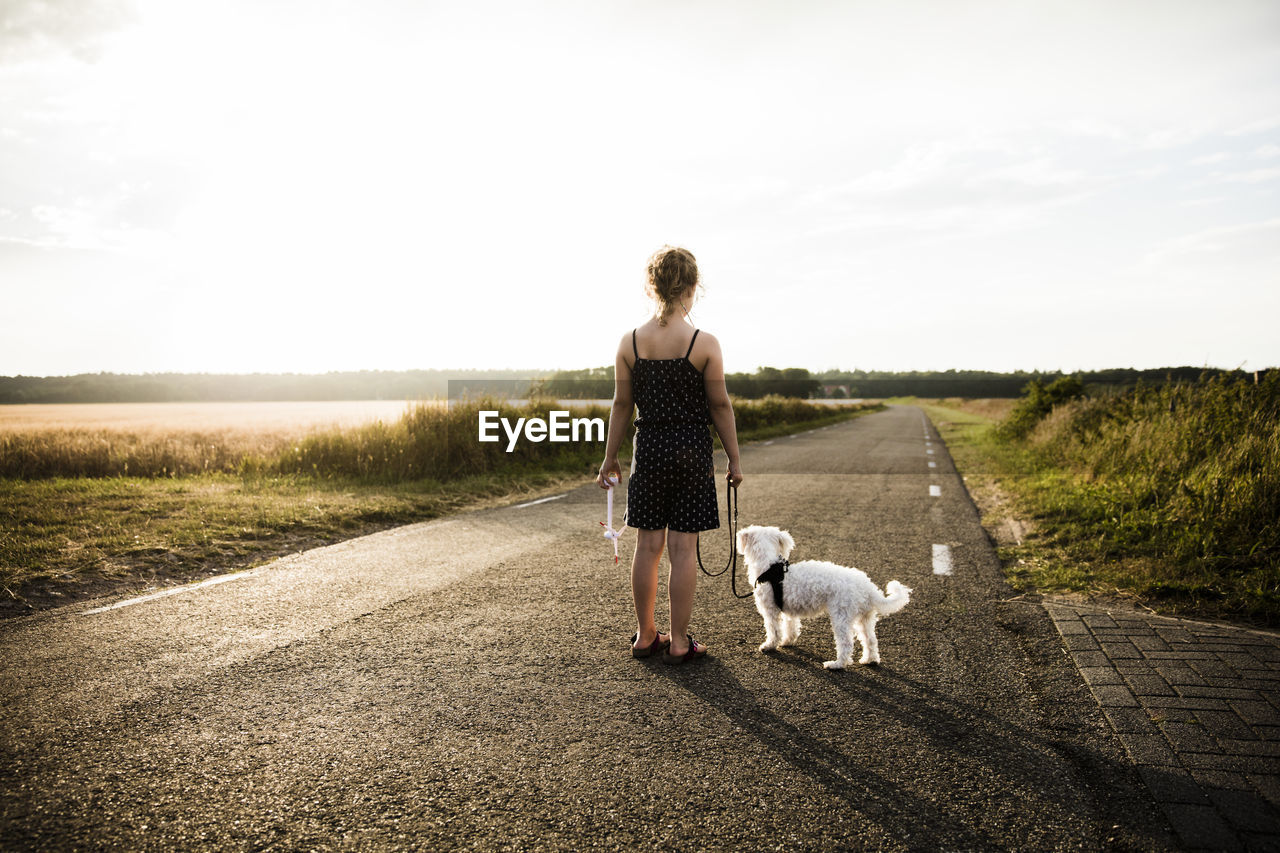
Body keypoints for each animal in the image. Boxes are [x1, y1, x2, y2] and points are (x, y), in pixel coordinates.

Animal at [742, 522, 911, 666]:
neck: (770, 568)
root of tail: (867, 587)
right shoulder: (789, 611)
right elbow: (790, 628)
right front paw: (787, 642)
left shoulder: (770, 610)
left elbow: (774, 631)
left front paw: (769, 646)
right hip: (864, 618)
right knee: (870, 640)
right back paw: (869, 660)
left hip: (841, 616)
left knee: (846, 644)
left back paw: (837, 665)